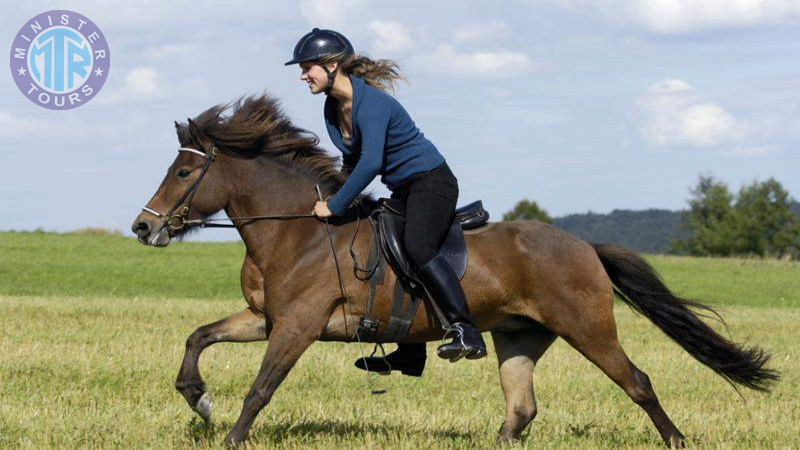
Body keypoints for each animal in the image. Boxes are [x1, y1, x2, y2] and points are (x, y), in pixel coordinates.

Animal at [130, 94, 776, 446]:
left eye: (184, 173)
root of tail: (583, 246)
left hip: (588, 327)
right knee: (521, 408)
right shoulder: (267, 318)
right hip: (519, 335)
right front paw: (198, 400)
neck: (298, 230)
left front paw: (228, 435)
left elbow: (261, 389)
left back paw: (678, 441)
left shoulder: (297, 326)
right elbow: (199, 338)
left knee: (636, 382)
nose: (142, 227)